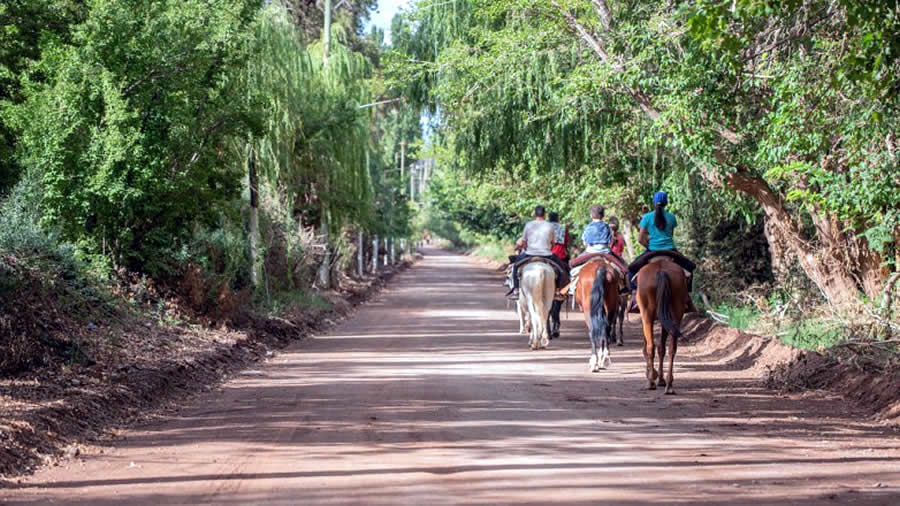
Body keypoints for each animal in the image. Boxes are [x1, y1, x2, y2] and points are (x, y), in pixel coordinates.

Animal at [636, 258, 684, 394]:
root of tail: (661, 270)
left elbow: (647, 347)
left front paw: (653, 374)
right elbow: (662, 348)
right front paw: (661, 379)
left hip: (647, 315)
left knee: (650, 347)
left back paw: (651, 382)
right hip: (676, 313)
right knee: (672, 348)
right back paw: (669, 385)